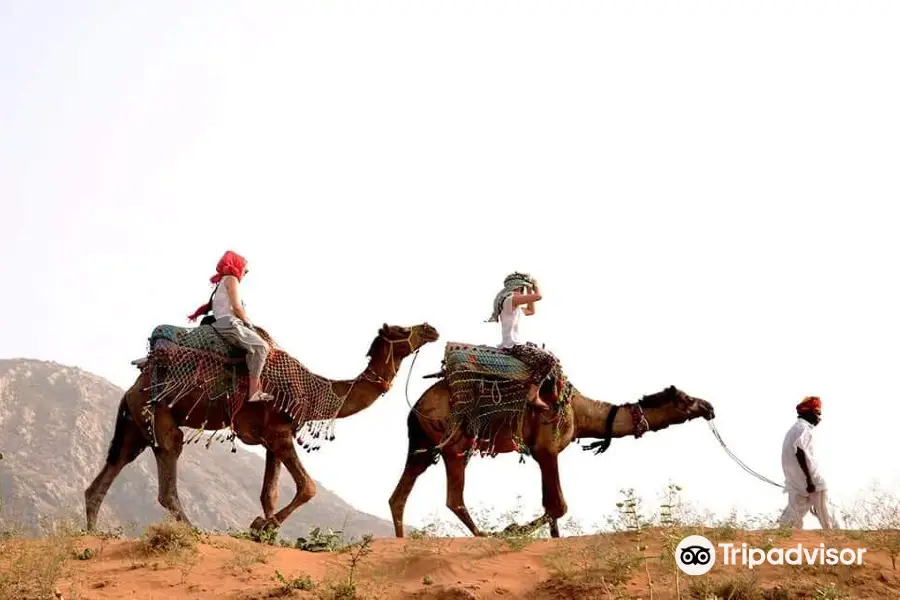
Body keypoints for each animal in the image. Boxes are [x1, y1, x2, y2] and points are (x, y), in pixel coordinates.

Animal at [84, 324, 440, 536]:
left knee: (108, 473)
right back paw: (196, 531)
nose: (430, 328)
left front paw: (268, 533)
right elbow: (308, 488)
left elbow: (269, 494)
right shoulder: (280, 433)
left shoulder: (271, 440)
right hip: (160, 414)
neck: (315, 392)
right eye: (402, 328)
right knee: (168, 470)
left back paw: (90, 535)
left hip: (134, 426)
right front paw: (262, 527)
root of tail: (134, 386)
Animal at [390, 370, 712, 540]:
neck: (580, 412)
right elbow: (558, 506)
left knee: (400, 495)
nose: (709, 406)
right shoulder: (547, 448)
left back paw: (402, 541)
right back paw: (486, 536)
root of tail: (415, 406)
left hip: (423, 444)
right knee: (453, 498)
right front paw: (512, 529)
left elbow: (551, 506)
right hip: (454, 442)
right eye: (687, 400)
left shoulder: (542, 453)